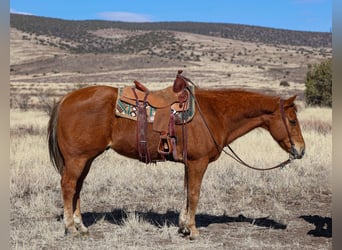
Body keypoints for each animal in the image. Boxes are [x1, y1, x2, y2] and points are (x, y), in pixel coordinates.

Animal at [47, 74, 304, 240]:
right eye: (292, 120)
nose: (301, 150)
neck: (213, 113)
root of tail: (66, 99)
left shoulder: (190, 163)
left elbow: (187, 192)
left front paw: (183, 225)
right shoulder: (198, 163)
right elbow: (194, 194)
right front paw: (193, 230)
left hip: (86, 159)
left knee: (77, 188)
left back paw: (81, 227)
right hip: (78, 159)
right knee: (69, 186)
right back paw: (71, 228)